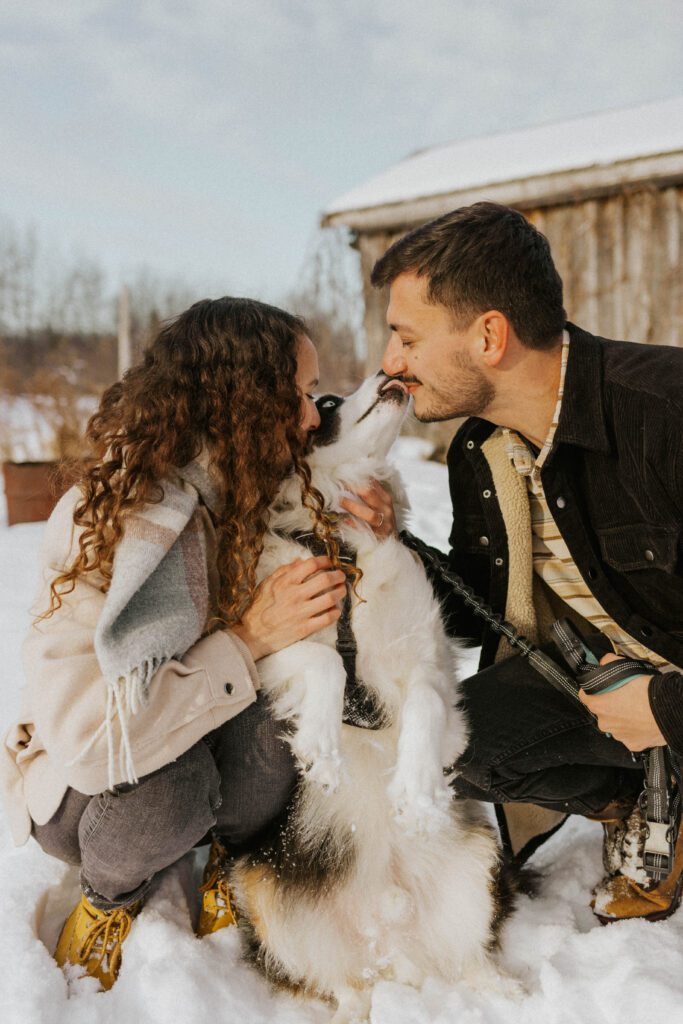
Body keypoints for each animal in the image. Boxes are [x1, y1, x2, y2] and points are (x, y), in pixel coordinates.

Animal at [229, 372, 524, 1019]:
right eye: (326, 403)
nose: (389, 375)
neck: (345, 547)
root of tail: (386, 928)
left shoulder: (431, 667)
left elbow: (424, 705)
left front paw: (415, 787)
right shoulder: (266, 644)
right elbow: (323, 662)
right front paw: (319, 745)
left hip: (477, 865)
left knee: (471, 960)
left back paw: (512, 992)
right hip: (263, 896)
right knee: (340, 986)